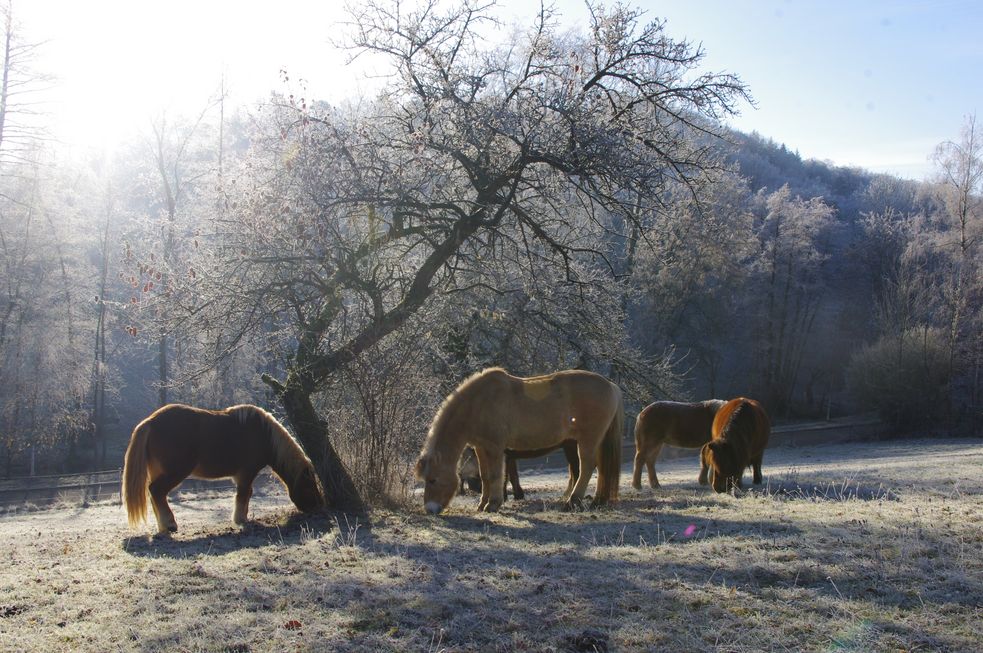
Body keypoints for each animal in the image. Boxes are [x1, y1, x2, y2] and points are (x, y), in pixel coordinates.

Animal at [121, 402, 324, 536]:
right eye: (309, 485)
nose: (317, 506)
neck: (264, 435)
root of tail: (150, 421)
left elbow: (246, 494)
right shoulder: (247, 474)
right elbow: (244, 494)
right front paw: (240, 519)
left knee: (155, 495)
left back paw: (163, 526)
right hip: (175, 472)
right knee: (156, 491)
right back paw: (170, 524)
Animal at [416, 366, 624, 516]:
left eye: (433, 479)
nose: (430, 509)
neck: (478, 403)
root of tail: (610, 386)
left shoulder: (495, 448)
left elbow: (496, 475)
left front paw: (493, 504)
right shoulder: (481, 448)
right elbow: (484, 475)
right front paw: (482, 504)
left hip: (588, 439)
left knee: (587, 466)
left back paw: (572, 502)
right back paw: (595, 501)